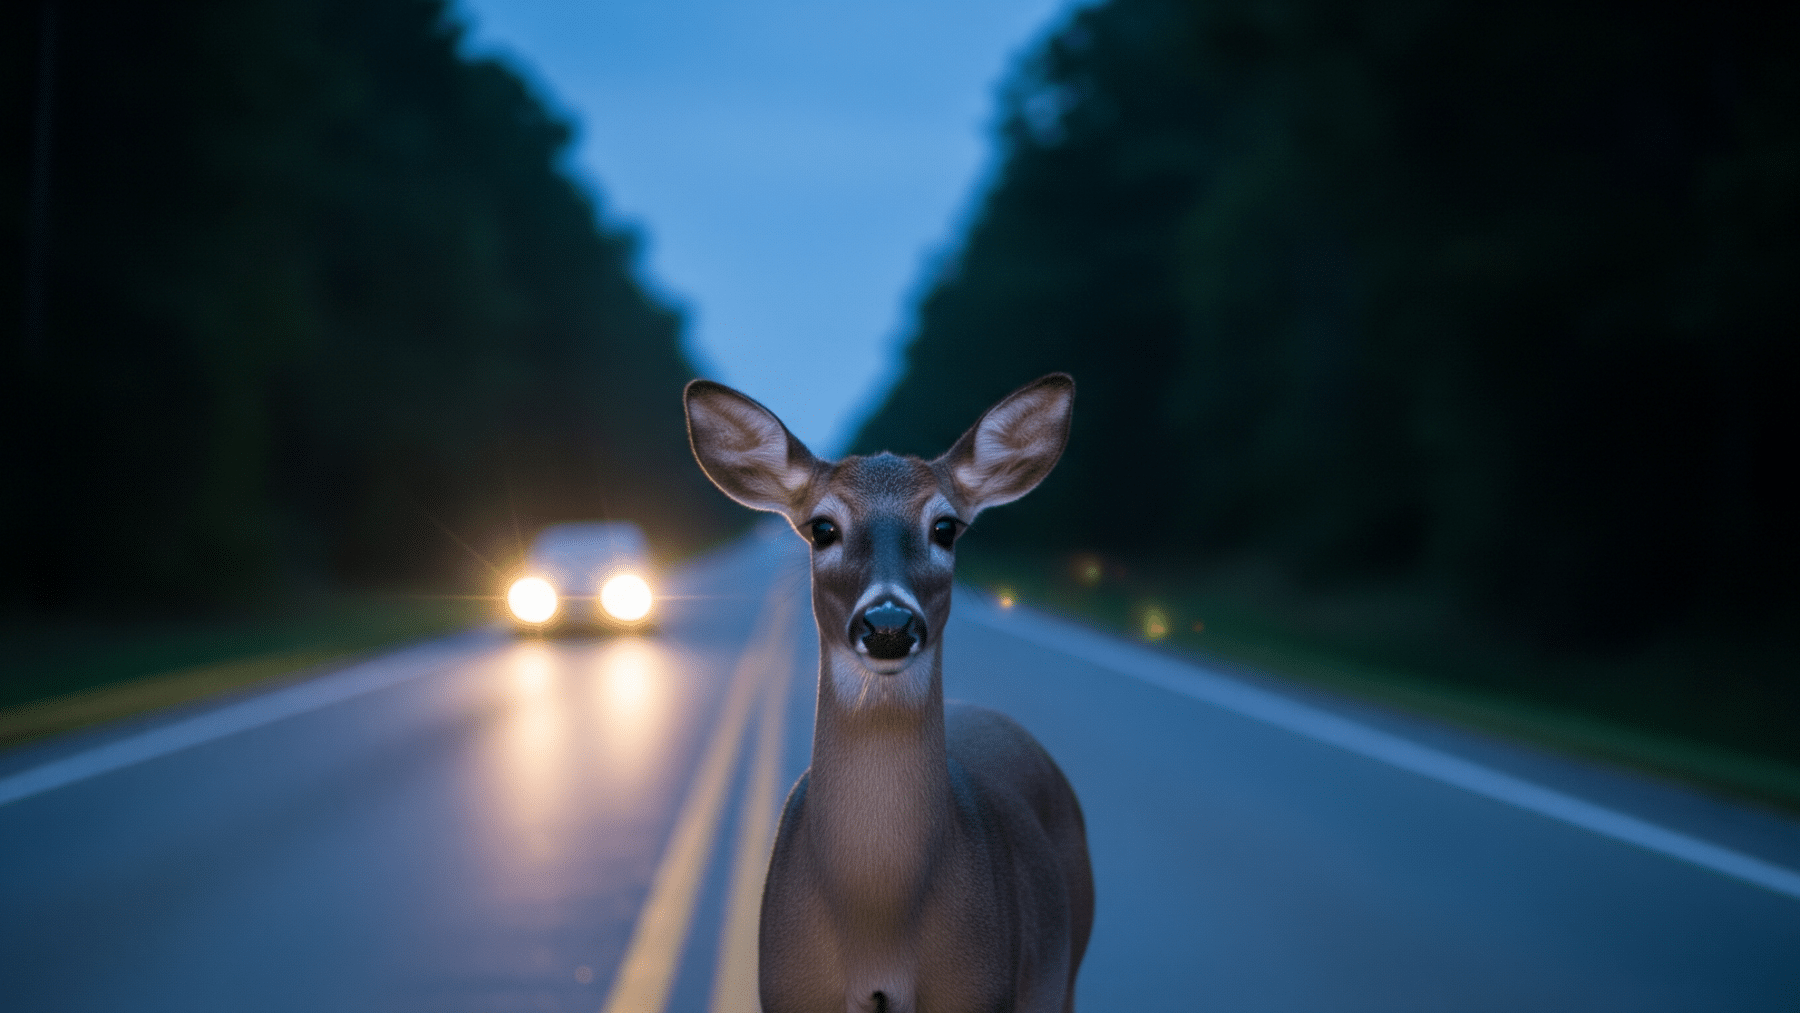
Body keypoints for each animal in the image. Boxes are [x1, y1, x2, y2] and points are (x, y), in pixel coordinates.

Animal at [684, 373, 1094, 1013]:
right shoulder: (789, 987)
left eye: (945, 527)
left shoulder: (980, 986)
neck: (878, 922)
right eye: (823, 527)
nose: (888, 624)